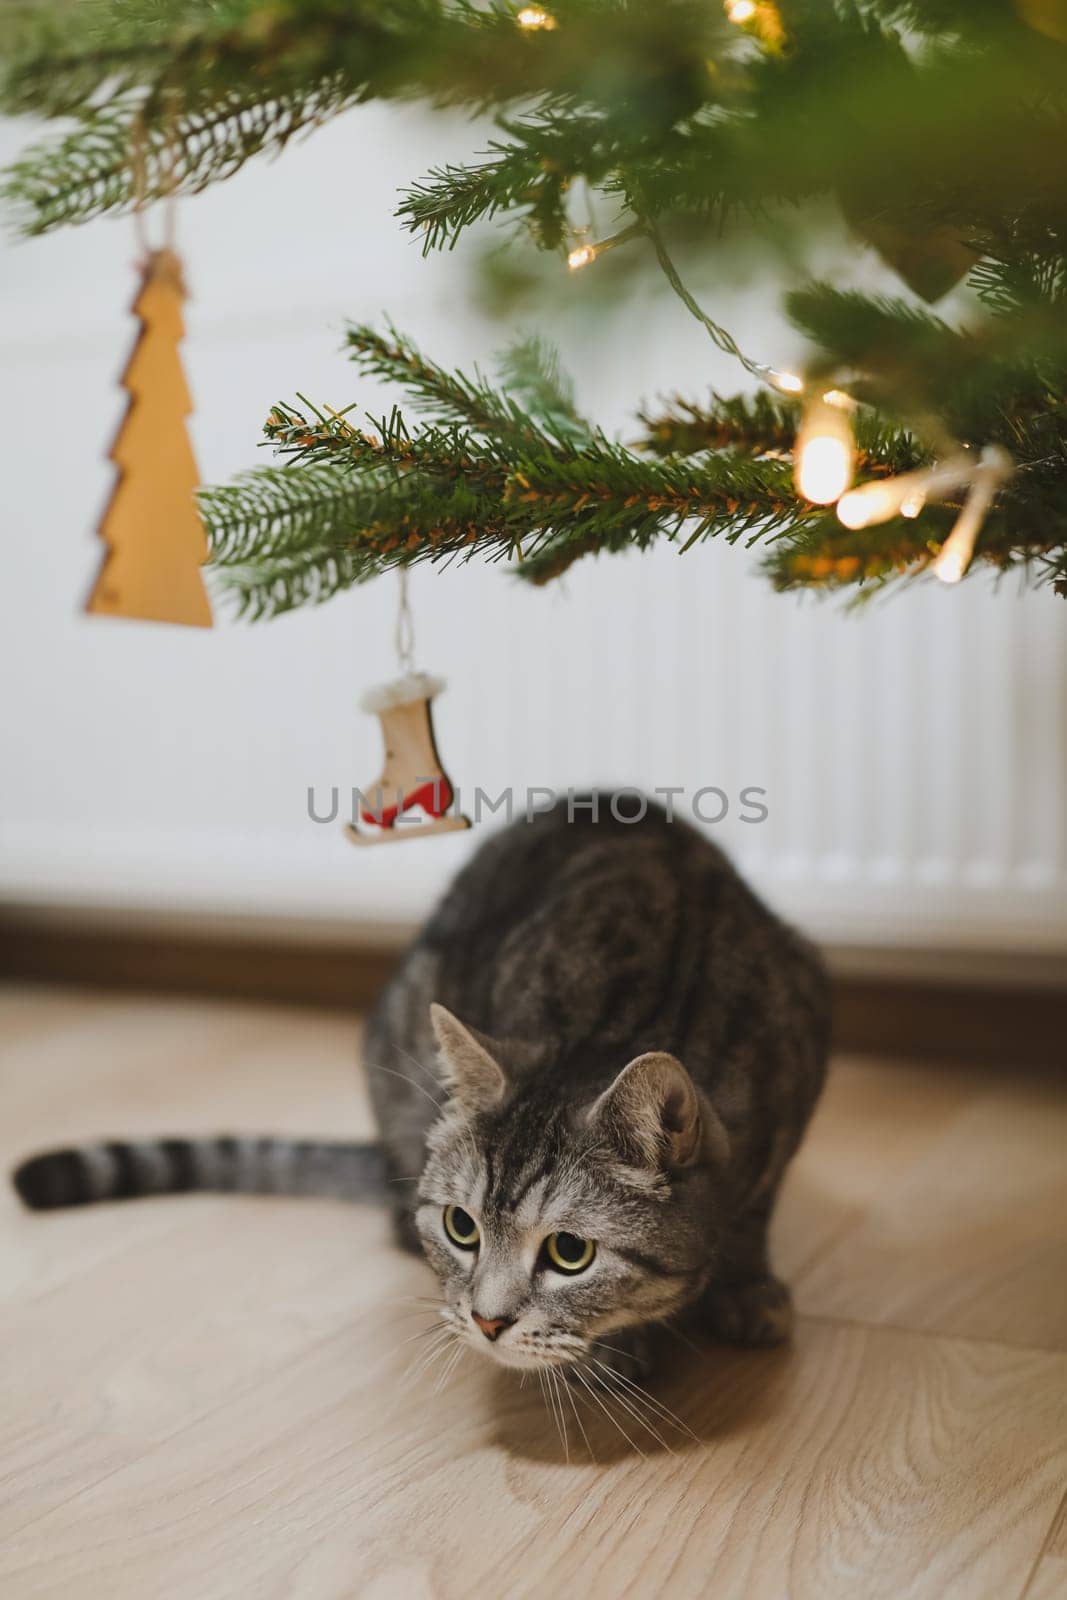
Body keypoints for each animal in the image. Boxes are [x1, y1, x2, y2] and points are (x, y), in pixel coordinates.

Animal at [18, 806, 831, 1382]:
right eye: (460, 1228)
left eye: (569, 1252)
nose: (487, 1323)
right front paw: (621, 1347)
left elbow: (752, 1216)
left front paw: (745, 1287)